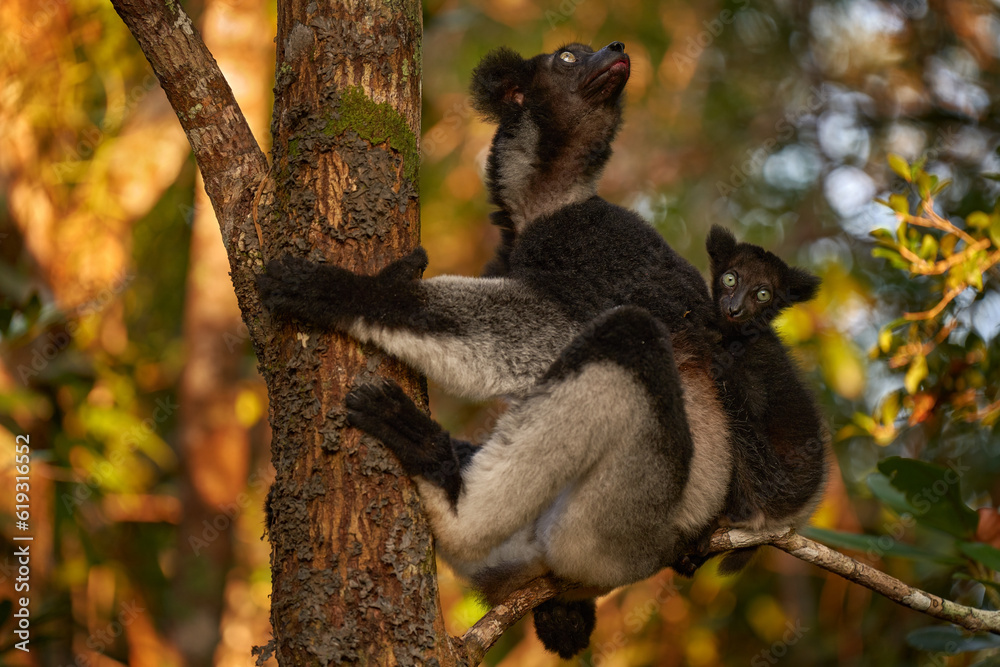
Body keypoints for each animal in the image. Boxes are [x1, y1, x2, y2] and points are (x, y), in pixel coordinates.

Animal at [257, 42, 732, 658]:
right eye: (569, 57)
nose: (617, 52)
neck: (548, 200)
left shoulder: (589, 236)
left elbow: (552, 330)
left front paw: (341, 290)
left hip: (628, 522)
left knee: (629, 338)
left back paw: (447, 489)